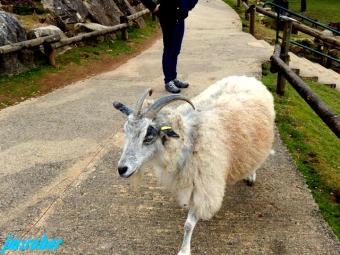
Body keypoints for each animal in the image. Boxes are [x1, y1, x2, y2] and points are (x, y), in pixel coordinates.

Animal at [113, 76, 274, 255]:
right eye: (125, 131)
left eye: (148, 137)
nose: (122, 169)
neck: (189, 139)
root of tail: (248, 78)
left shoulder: (204, 185)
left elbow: (189, 224)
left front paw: (184, 250)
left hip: (257, 142)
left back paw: (251, 175)